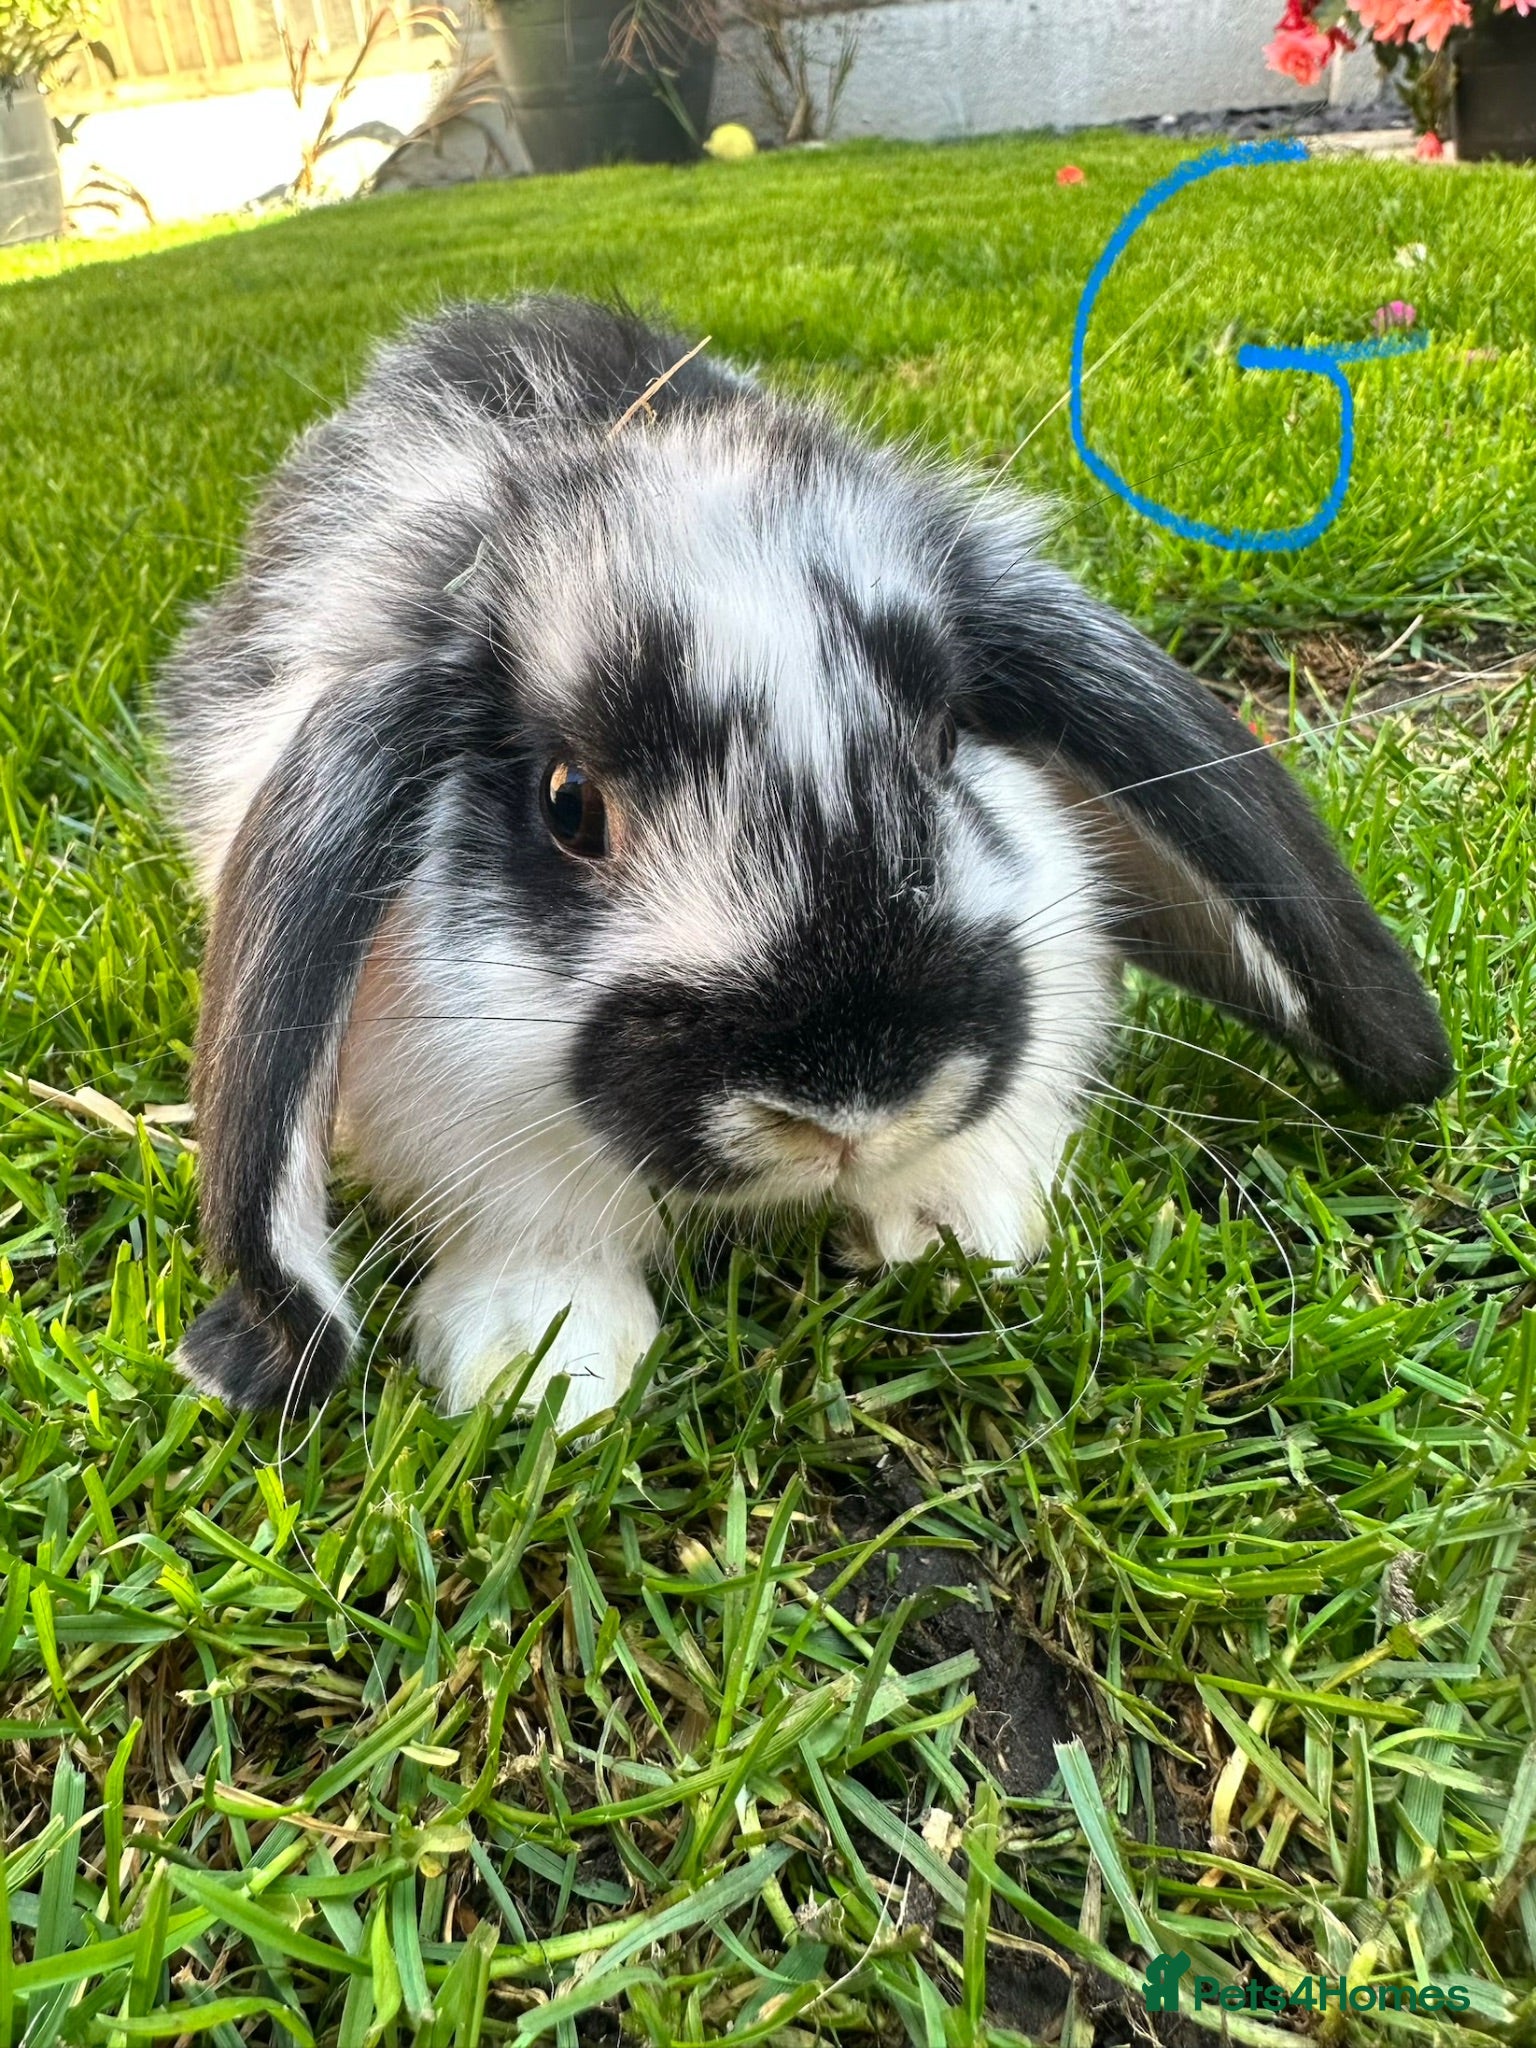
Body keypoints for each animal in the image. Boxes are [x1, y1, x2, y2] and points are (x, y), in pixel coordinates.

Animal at [158, 294, 1453, 1426]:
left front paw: (951, 1233)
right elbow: (535, 1236)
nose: (849, 1104)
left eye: (944, 739)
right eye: (570, 804)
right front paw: (548, 1372)